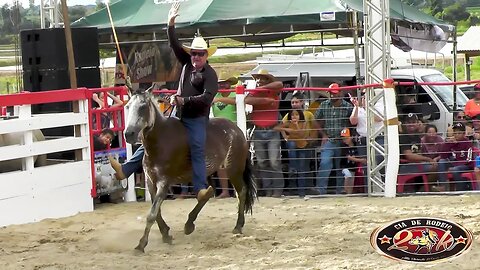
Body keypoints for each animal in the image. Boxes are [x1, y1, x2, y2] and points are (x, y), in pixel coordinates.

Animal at [125, 87, 256, 252]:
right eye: (127, 106)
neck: (161, 141)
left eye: (143, 107)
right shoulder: (150, 181)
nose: (128, 134)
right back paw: (189, 224)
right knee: (208, 193)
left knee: (241, 192)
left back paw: (238, 226)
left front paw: (141, 244)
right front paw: (165, 234)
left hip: (233, 169)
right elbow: (157, 211)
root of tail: (237, 130)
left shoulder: (164, 182)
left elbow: (152, 214)